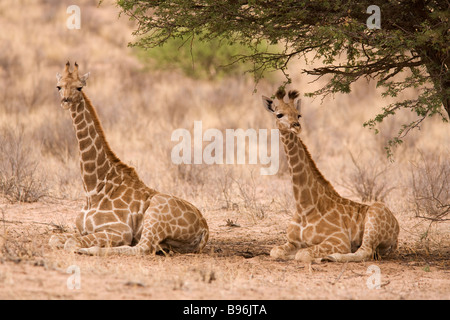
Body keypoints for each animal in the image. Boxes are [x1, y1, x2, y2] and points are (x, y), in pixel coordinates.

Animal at [49, 62, 209, 255]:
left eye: (79, 87)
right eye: (59, 86)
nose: (66, 101)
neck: (93, 189)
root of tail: (205, 228)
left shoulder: (121, 230)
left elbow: (70, 243)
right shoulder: (81, 229)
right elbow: (54, 238)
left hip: (156, 212)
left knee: (142, 248)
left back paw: (92, 250)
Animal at [262, 87, 400, 262]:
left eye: (298, 114)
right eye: (279, 114)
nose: (296, 126)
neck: (303, 206)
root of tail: (397, 230)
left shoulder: (339, 239)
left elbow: (303, 254)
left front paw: (318, 257)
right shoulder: (292, 241)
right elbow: (275, 251)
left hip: (375, 216)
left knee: (365, 251)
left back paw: (329, 257)